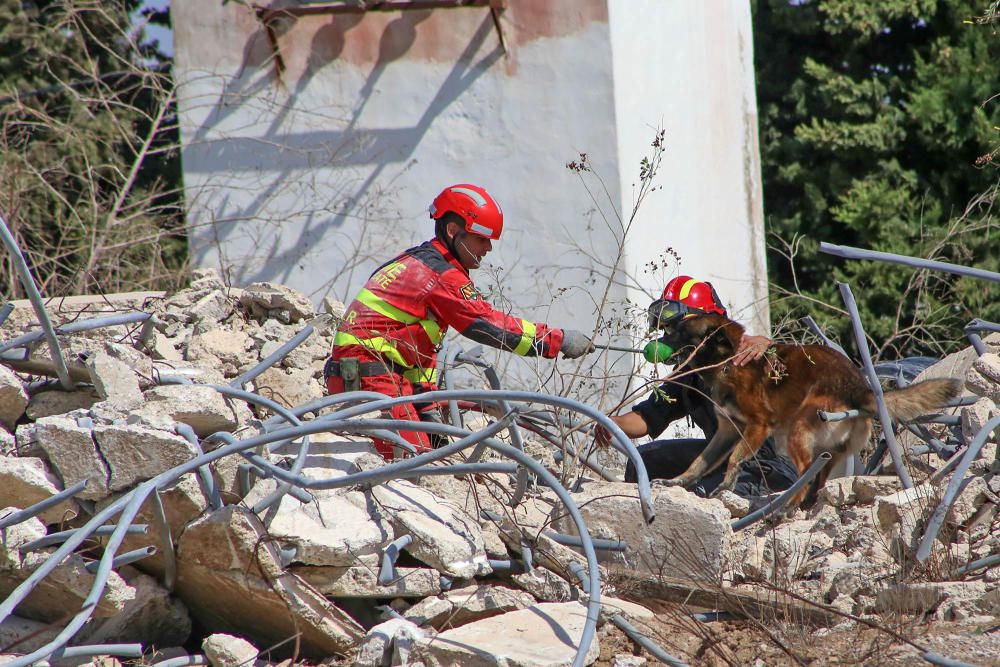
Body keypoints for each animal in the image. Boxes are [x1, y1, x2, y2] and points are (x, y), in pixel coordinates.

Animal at [656, 314, 960, 506]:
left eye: (680, 330)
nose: (660, 331)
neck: (728, 362)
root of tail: (859, 387)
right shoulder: (727, 432)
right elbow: (700, 462)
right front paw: (677, 482)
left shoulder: (758, 425)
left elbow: (734, 458)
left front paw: (726, 485)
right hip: (824, 447)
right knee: (818, 475)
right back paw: (803, 504)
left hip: (798, 429)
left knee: (805, 472)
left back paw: (789, 506)